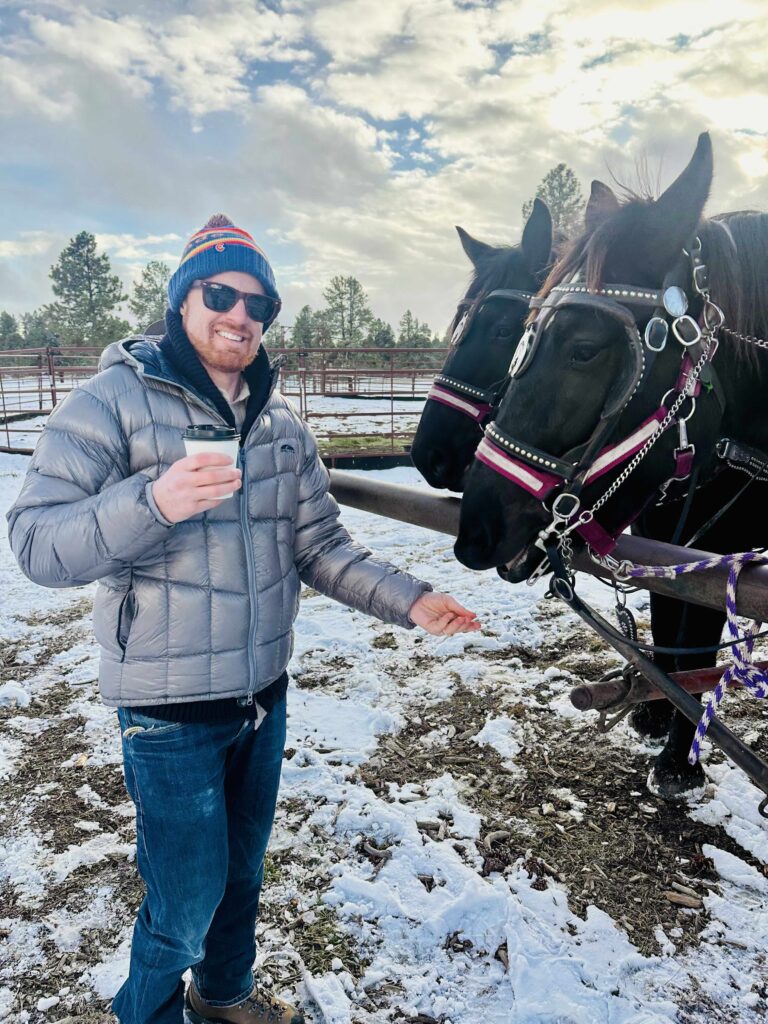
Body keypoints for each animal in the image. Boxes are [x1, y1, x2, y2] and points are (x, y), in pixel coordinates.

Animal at [454, 132, 768, 799]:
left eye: (583, 349)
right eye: (521, 334)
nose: (476, 531)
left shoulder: (720, 541)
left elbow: (698, 636)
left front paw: (679, 761)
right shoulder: (672, 535)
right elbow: (671, 622)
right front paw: (657, 716)